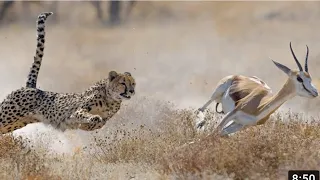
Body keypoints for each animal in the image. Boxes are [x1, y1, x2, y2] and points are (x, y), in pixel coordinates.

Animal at [0, 11, 136, 134]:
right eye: (123, 83)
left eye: (133, 84)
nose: (131, 91)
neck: (111, 98)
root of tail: (31, 87)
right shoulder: (77, 111)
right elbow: (85, 115)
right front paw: (93, 118)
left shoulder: (101, 119)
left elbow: (99, 124)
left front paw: (90, 123)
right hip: (7, 116)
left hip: (15, 123)